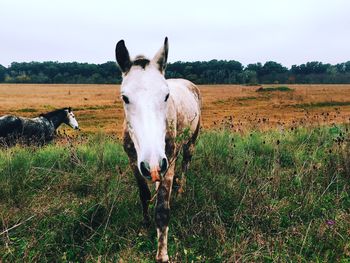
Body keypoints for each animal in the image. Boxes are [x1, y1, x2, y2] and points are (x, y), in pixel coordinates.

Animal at [116, 37, 201, 263]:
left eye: (166, 95)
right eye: (125, 97)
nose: (153, 163)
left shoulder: (168, 164)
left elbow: (162, 210)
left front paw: (162, 254)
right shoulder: (134, 163)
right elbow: (144, 195)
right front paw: (145, 225)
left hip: (190, 143)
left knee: (186, 164)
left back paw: (180, 191)